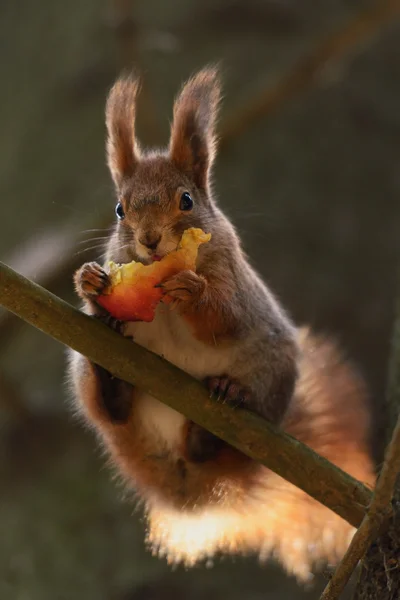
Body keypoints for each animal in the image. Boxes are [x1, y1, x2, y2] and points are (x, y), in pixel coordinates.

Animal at [67, 65, 376, 580]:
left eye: (187, 200)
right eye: (119, 209)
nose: (149, 240)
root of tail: (185, 483)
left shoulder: (236, 287)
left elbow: (223, 320)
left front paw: (192, 290)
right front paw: (91, 284)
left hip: (273, 375)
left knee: (213, 444)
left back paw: (217, 414)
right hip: (96, 390)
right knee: (109, 411)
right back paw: (112, 382)